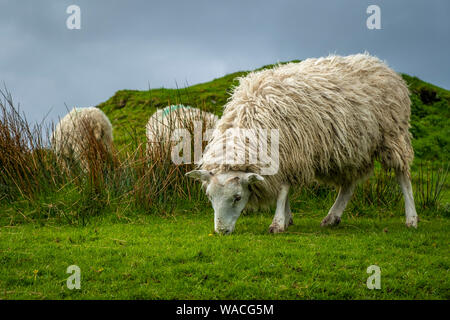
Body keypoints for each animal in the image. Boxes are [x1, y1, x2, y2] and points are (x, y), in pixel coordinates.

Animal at [186, 53, 418, 234]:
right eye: (209, 197)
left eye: (237, 197)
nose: (221, 231)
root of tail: (381, 64)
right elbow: (284, 190)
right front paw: (287, 219)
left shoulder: (290, 153)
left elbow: (283, 190)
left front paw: (278, 223)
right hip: (352, 147)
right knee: (349, 184)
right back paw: (332, 217)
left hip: (393, 135)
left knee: (403, 176)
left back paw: (412, 219)